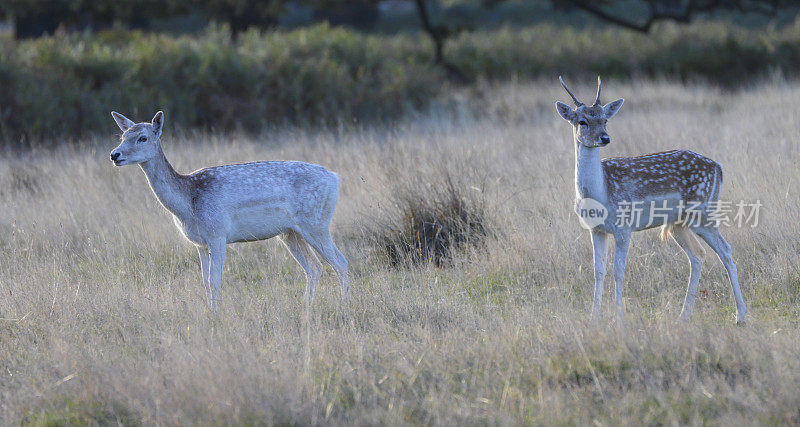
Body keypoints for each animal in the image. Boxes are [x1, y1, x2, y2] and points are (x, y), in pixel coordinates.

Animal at [109, 112, 350, 310]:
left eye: (142, 138)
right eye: (123, 136)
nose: (114, 155)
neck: (188, 203)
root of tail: (335, 178)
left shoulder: (217, 234)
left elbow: (214, 280)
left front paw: (215, 313)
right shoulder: (200, 243)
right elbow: (205, 281)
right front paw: (209, 310)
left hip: (316, 222)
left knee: (340, 262)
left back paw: (344, 305)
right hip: (290, 233)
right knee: (314, 267)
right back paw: (306, 307)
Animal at [556, 77, 744, 324]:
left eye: (605, 120)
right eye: (582, 121)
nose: (605, 138)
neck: (601, 192)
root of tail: (719, 168)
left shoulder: (624, 225)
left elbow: (618, 270)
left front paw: (618, 317)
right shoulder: (595, 229)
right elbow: (598, 271)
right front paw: (594, 316)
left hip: (703, 211)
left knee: (726, 250)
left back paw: (740, 316)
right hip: (679, 224)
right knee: (698, 255)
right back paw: (683, 316)